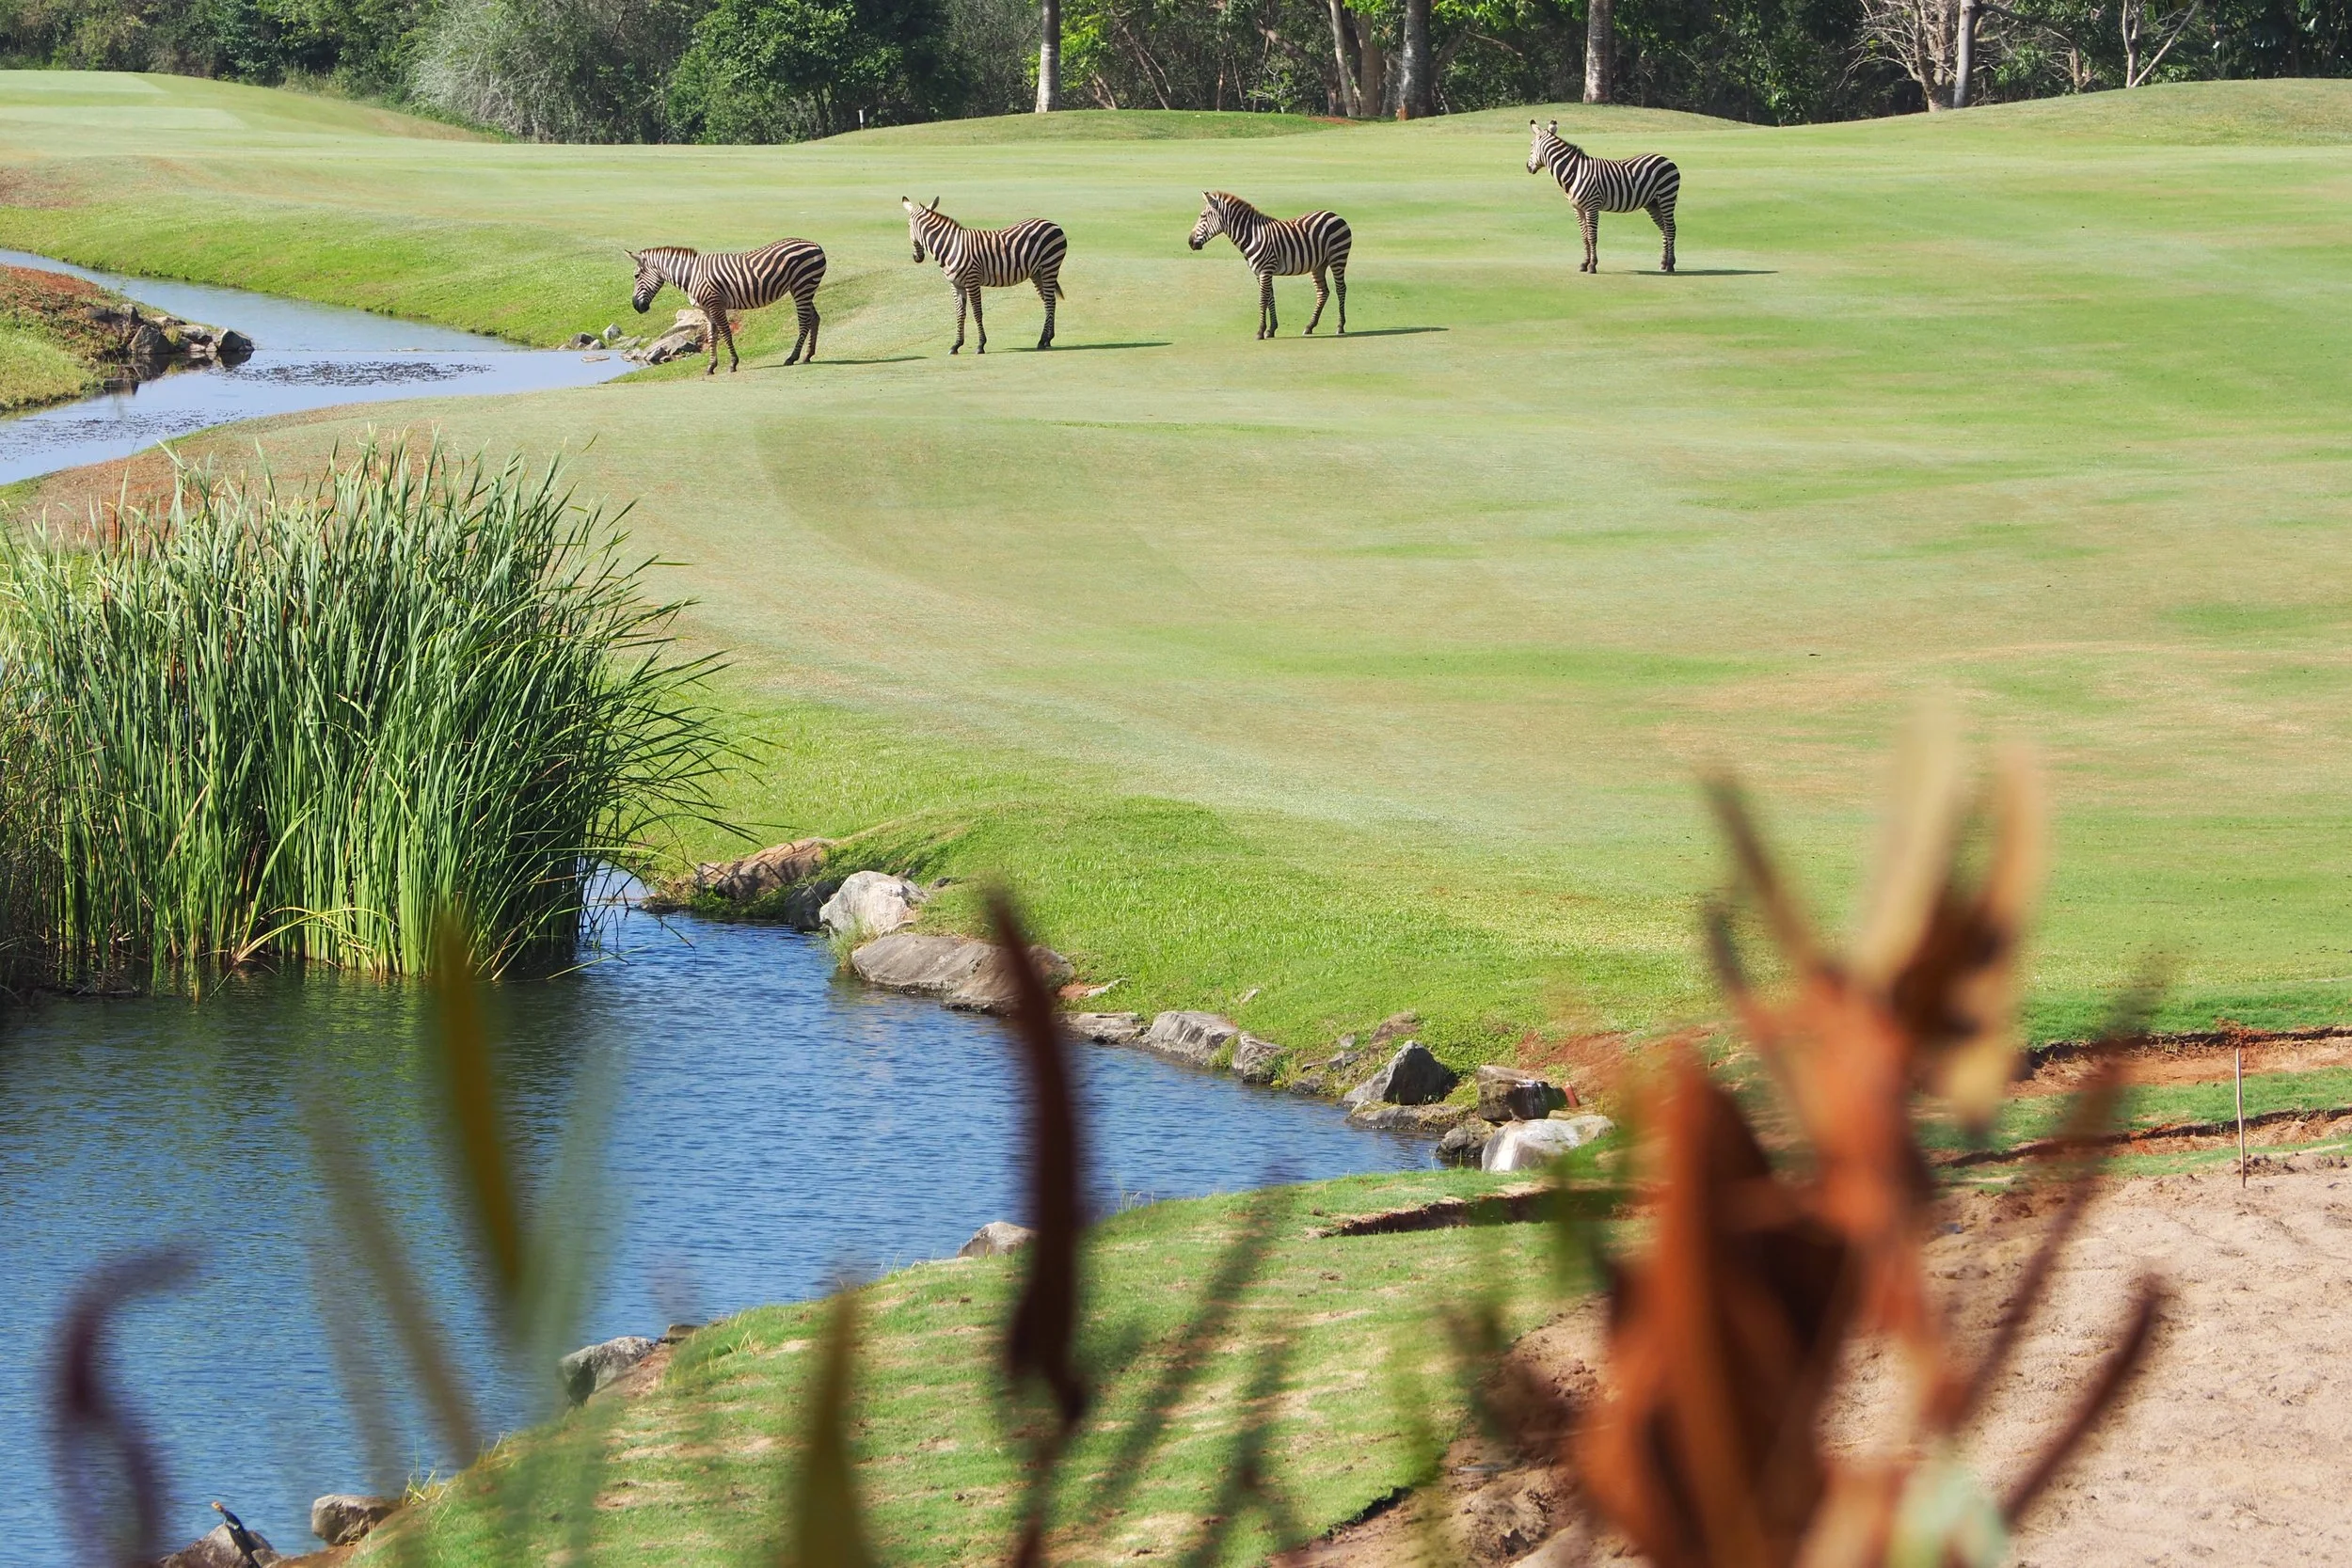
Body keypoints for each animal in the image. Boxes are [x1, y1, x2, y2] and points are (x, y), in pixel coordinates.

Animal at [627, 239, 826, 374]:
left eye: (636, 276)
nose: (636, 306)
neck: (691, 275)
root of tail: (815, 244)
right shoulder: (706, 310)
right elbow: (712, 337)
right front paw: (711, 367)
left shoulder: (716, 304)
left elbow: (725, 334)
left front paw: (732, 363)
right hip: (804, 288)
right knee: (814, 318)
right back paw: (808, 355)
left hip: (802, 286)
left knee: (804, 322)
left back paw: (792, 357)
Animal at [902, 197, 1067, 354]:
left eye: (908, 226)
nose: (917, 258)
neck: (950, 246)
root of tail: (1052, 223)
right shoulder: (956, 284)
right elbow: (960, 313)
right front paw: (956, 345)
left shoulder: (972, 280)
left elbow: (977, 313)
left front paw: (980, 345)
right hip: (1037, 272)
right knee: (1049, 300)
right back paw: (1048, 339)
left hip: (1050, 266)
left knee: (1049, 302)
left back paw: (1042, 340)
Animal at [1188, 191, 1351, 339]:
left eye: (1202, 216)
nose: (1190, 242)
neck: (1252, 236)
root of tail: (1334, 214)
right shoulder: (1259, 272)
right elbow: (1270, 297)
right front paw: (1271, 329)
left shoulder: (1266, 270)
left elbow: (1262, 299)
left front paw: (1260, 331)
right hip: (1319, 264)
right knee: (1323, 292)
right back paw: (1310, 326)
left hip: (1338, 257)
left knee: (1340, 289)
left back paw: (1340, 326)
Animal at [1525, 120, 1680, 275]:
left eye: (1531, 145)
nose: (1527, 167)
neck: (1575, 172)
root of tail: (1666, 159)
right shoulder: (1578, 209)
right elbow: (1584, 237)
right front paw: (1584, 263)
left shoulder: (1591, 207)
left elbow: (1592, 237)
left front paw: (1592, 265)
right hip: (1653, 203)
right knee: (1664, 229)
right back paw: (1663, 263)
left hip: (1667, 197)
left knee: (1670, 228)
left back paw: (1670, 265)